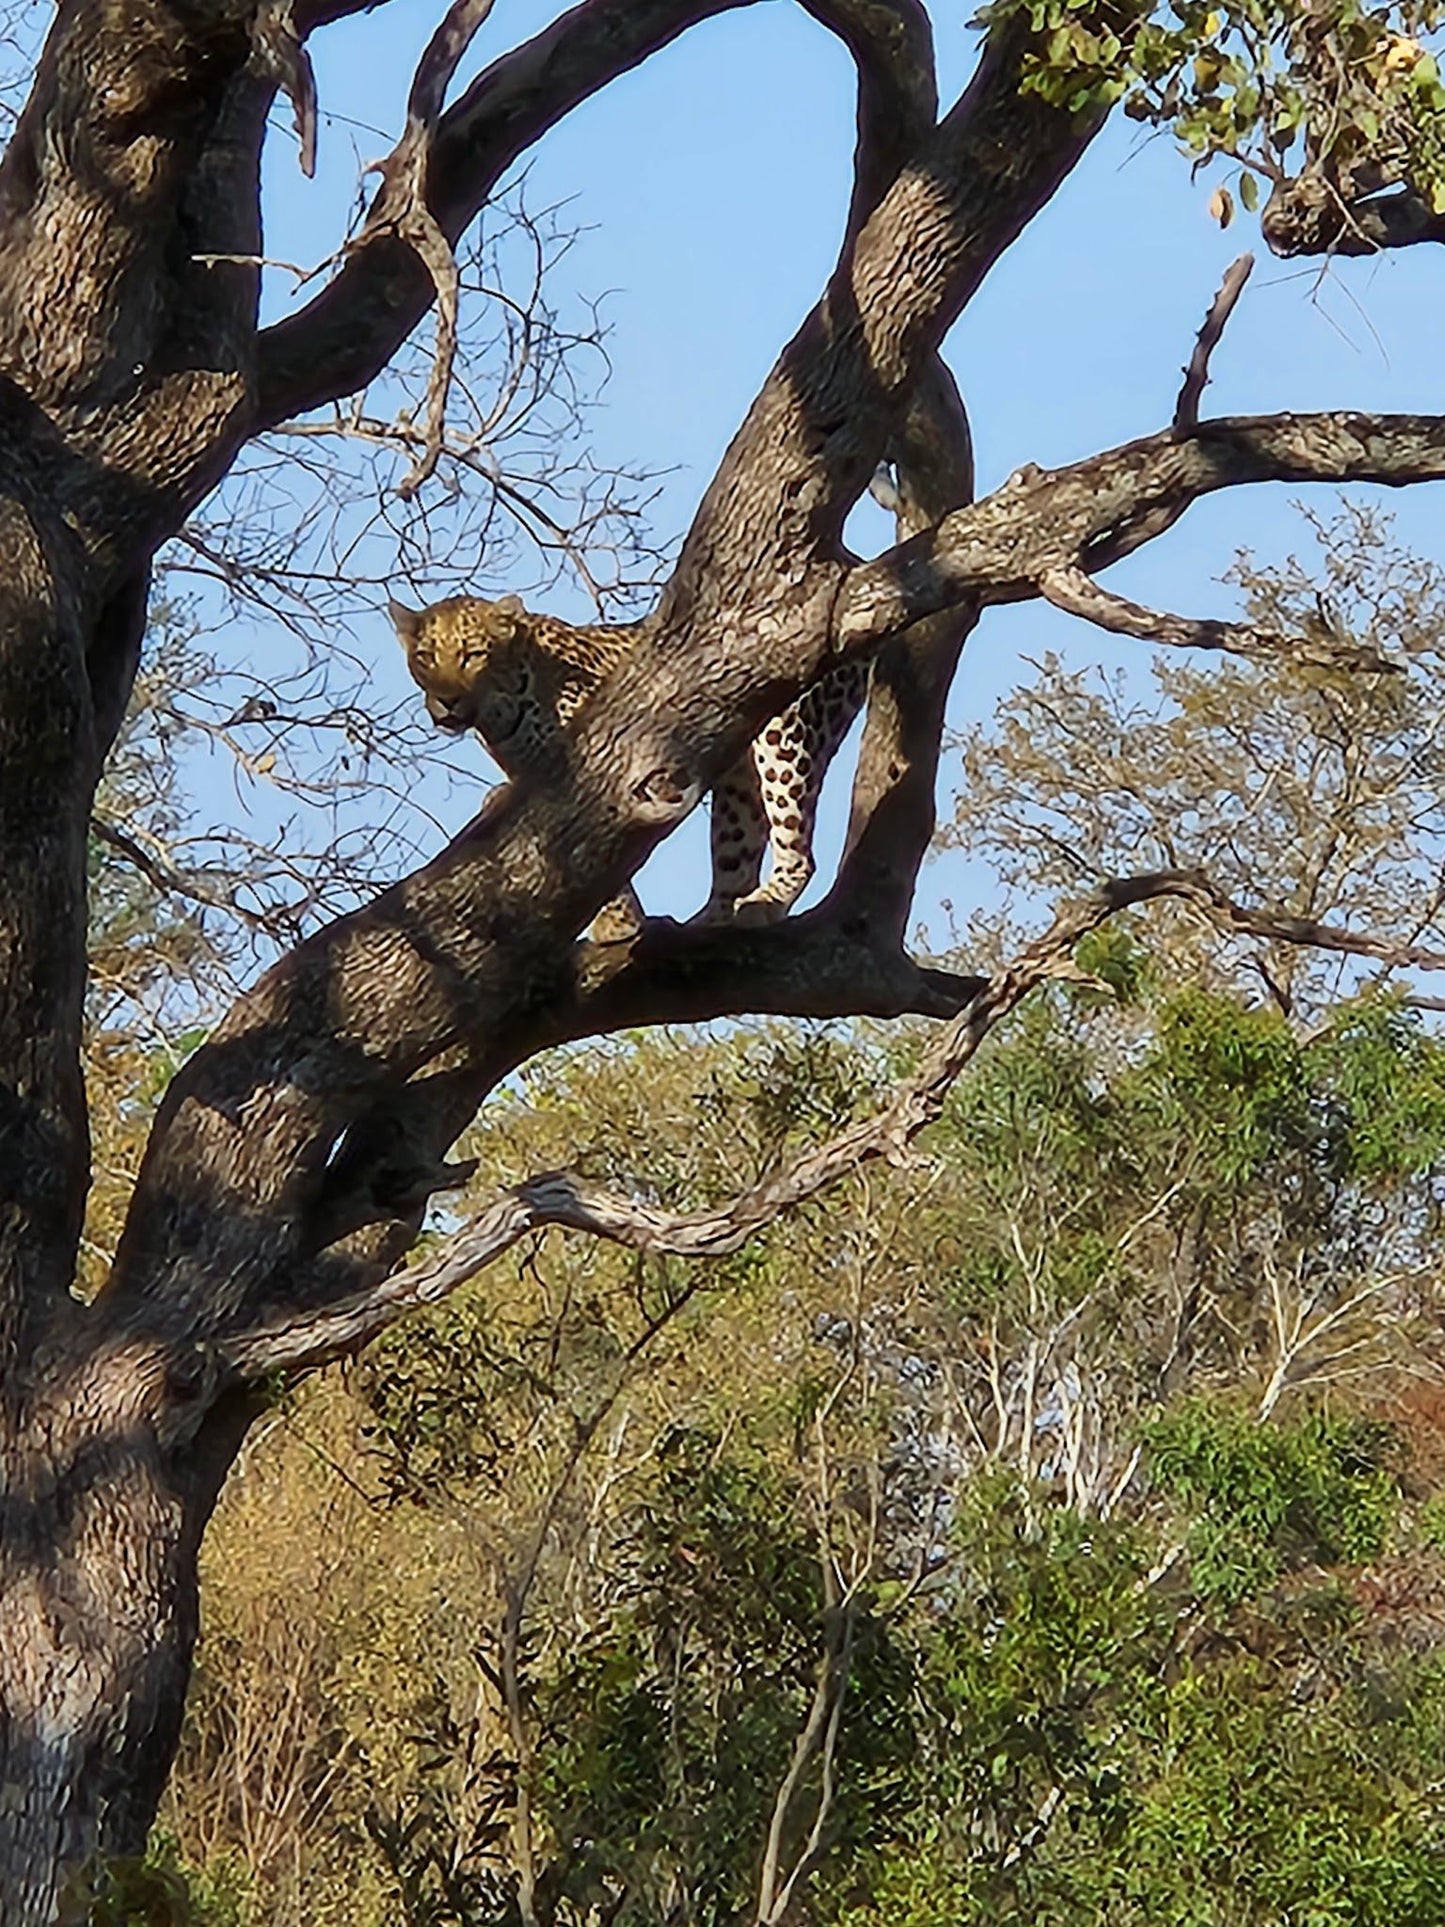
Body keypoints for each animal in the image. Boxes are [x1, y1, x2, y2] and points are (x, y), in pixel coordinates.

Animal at [385, 585, 878, 924]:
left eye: (473, 654)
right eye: (425, 658)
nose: (447, 701)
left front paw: (617, 926)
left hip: (785, 735)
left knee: (796, 844)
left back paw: (767, 902)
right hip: (740, 780)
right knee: (739, 847)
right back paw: (714, 917)